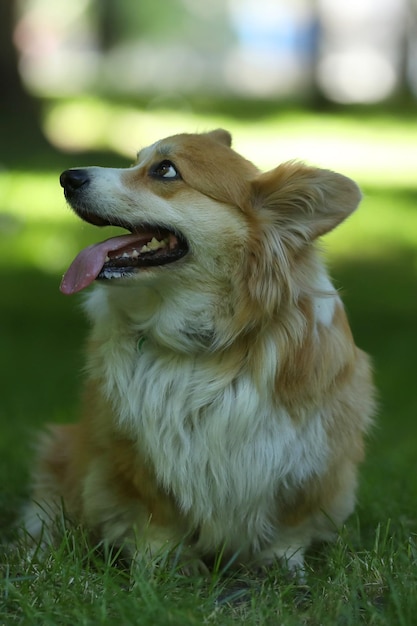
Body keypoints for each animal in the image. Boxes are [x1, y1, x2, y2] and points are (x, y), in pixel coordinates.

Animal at [23, 129, 374, 572]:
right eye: (136, 160)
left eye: (165, 170)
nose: (67, 177)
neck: (205, 342)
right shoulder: (133, 454)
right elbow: (153, 515)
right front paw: (163, 563)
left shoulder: (313, 456)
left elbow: (293, 521)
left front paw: (283, 563)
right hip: (60, 452)